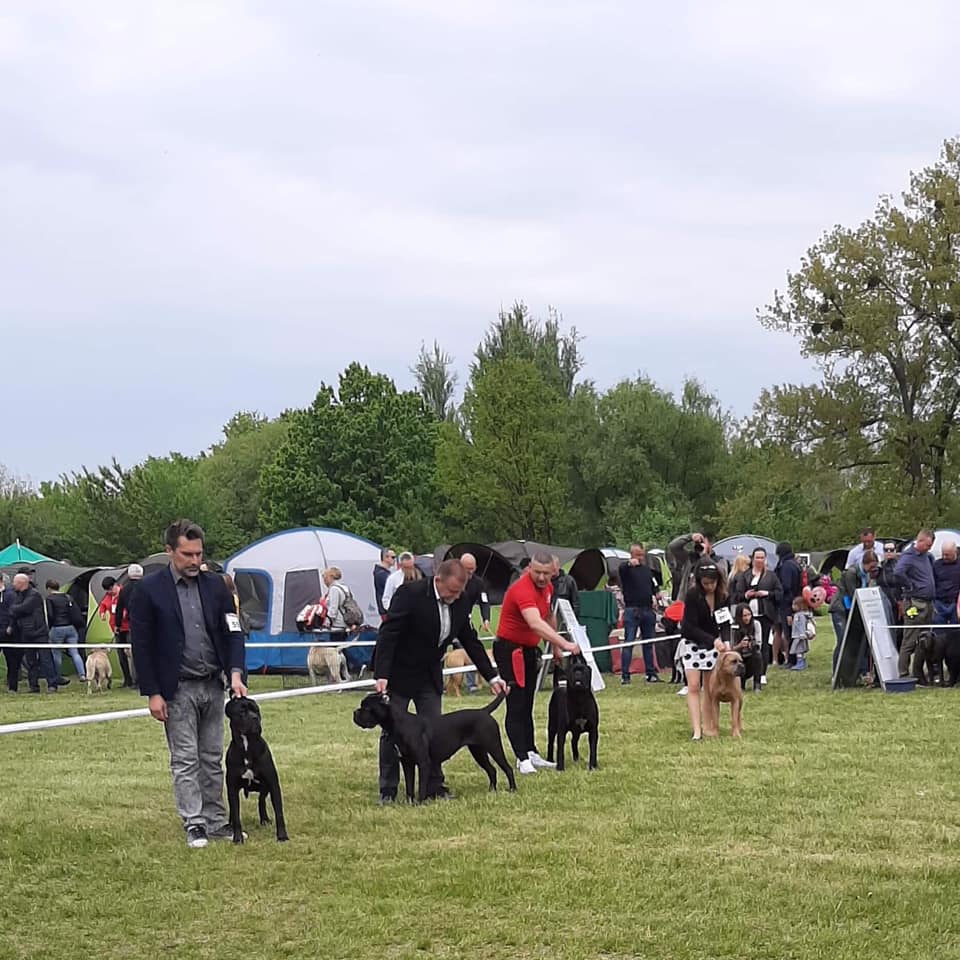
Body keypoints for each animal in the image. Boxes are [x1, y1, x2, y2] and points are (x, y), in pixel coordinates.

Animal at [225, 692, 288, 844]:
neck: (247, 746)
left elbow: (279, 813)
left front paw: (282, 836)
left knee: (261, 800)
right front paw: (237, 838)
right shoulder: (232, 787)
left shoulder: (273, 783)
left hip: (265, 786)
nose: (255, 718)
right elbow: (236, 814)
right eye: (242, 712)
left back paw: (264, 819)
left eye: (257, 710)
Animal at [352, 688, 516, 804]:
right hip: (478, 751)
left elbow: (421, 785)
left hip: (494, 746)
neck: (398, 724)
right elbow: (410, 785)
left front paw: (419, 802)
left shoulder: (423, 762)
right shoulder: (406, 762)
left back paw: (512, 789)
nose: (355, 712)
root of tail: (483, 711)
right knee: (492, 770)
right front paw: (409, 802)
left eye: (367, 708)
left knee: (507, 768)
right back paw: (491, 791)